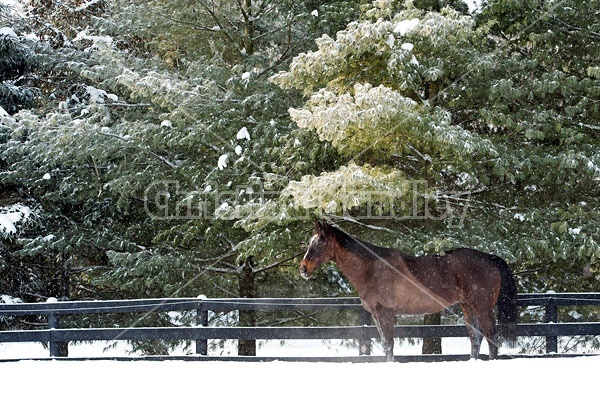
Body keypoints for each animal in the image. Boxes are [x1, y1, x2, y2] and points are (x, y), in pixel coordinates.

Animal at [302, 220, 516, 360]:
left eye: (320, 242)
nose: (303, 268)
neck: (372, 269)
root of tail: (489, 257)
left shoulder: (385, 313)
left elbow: (389, 344)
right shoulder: (375, 315)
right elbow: (384, 344)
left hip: (482, 308)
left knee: (491, 337)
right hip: (467, 306)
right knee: (476, 338)